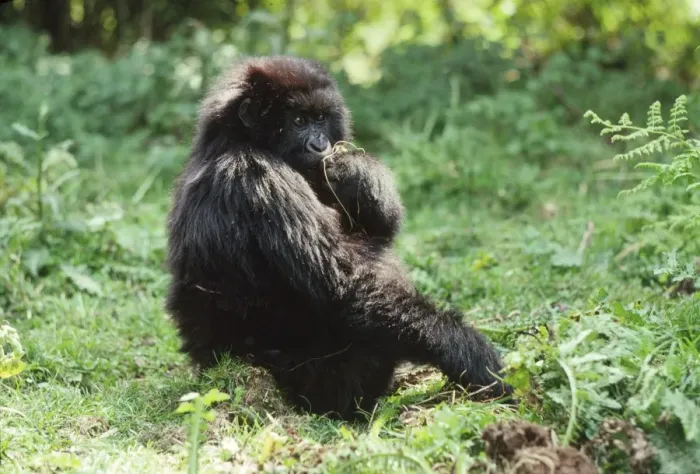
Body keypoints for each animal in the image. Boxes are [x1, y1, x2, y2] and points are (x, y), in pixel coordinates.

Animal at [165, 55, 512, 420]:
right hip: (309, 384)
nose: (321, 145)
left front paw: (358, 171)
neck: (234, 140)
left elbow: (377, 228)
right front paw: (464, 350)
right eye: (298, 121)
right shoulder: (256, 175)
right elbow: (341, 287)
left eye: (320, 118)